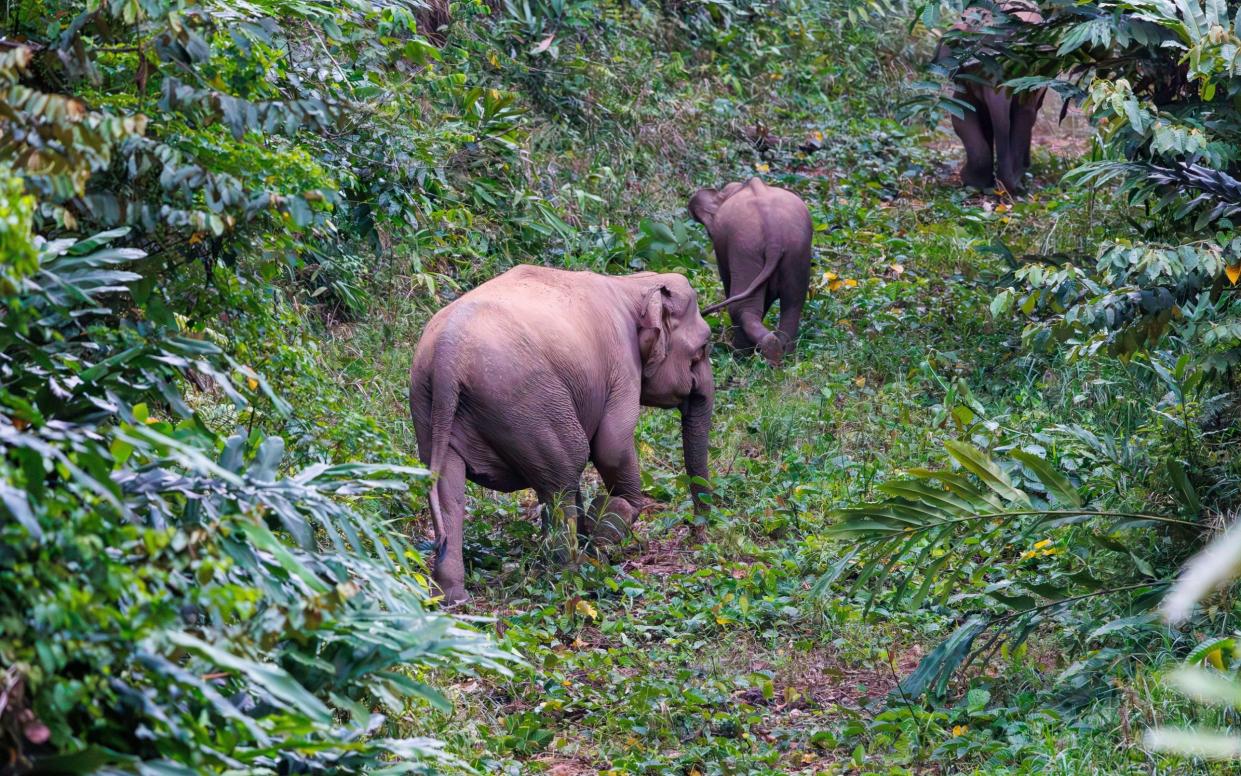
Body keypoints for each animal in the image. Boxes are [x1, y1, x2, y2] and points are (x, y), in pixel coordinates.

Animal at [409, 263, 714, 603]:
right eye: (703, 348)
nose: (698, 533)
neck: (632, 286)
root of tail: (447, 357)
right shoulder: (623, 368)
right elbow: (612, 447)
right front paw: (603, 531)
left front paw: (593, 534)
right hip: (527, 404)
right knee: (564, 473)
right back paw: (570, 572)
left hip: (431, 405)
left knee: (448, 489)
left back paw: (451, 596)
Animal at [689, 178, 814, 365]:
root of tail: (774, 237)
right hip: (797, 251)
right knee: (793, 304)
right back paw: (785, 356)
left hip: (745, 249)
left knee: (741, 307)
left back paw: (740, 356)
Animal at [938, 0, 1047, 193]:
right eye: (979, 68)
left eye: (1020, 71)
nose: (1008, 187)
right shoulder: (964, 79)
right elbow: (961, 118)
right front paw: (974, 182)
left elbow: (1024, 114)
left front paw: (1016, 180)